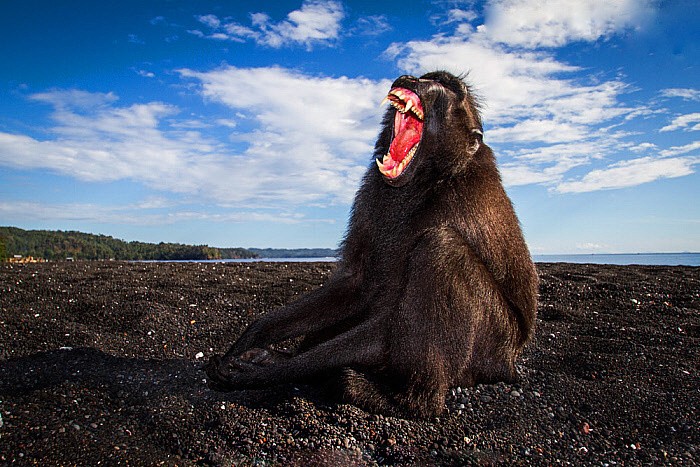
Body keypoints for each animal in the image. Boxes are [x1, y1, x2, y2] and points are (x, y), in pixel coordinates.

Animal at [205, 71, 540, 418]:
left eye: (446, 87)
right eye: (427, 76)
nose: (410, 78)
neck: (427, 179)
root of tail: (511, 362)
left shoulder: (453, 204)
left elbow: (386, 322)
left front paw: (262, 373)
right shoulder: (372, 196)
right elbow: (358, 283)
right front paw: (252, 340)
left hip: (492, 343)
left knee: (441, 251)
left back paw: (407, 399)